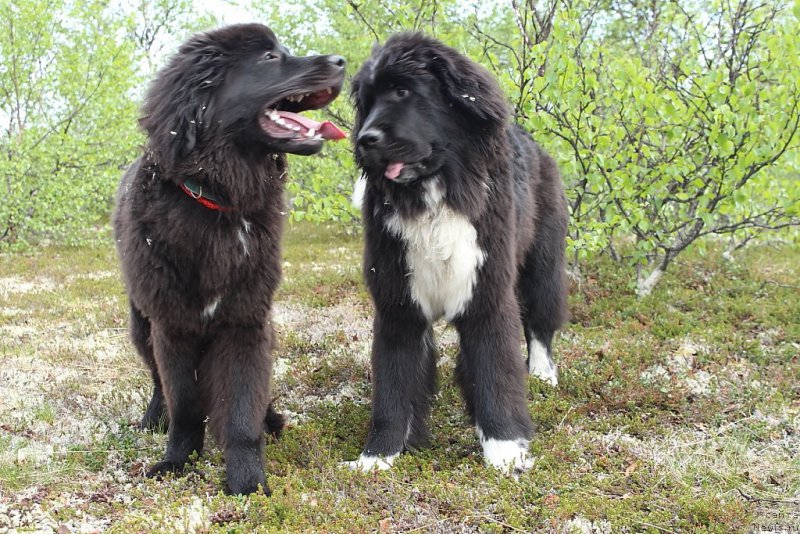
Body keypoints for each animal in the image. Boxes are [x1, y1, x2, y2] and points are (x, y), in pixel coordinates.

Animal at [350, 34, 568, 474]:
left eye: (403, 91)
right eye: (367, 101)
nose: (366, 140)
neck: (435, 197)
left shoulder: (486, 290)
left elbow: (495, 369)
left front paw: (505, 449)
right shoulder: (398, 303)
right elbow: (395, 382)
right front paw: (378, 455)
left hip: (543, 264)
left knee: (540, 321)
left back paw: (542, 372)